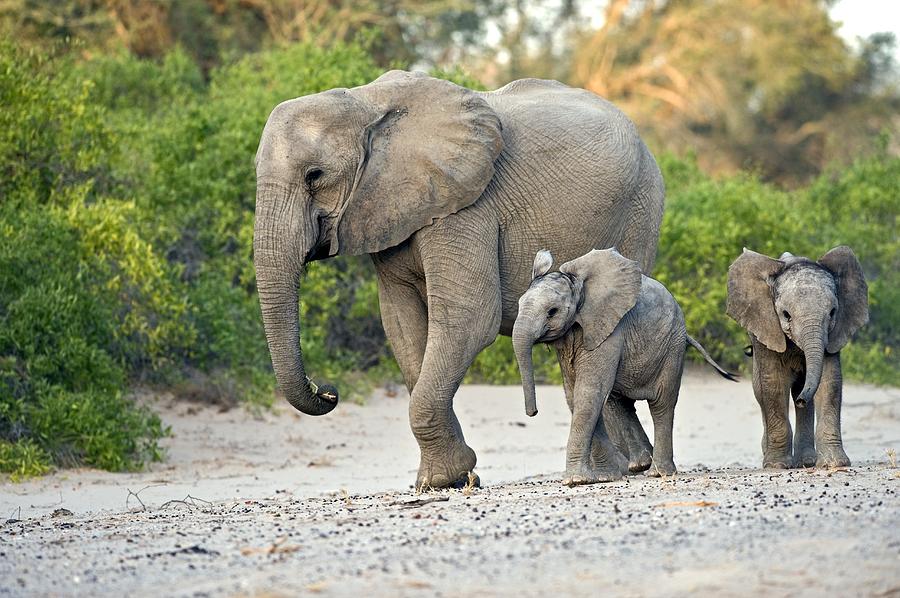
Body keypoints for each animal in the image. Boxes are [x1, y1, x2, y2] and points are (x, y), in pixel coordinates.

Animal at [253, 71, 668, 492]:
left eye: (315, 175)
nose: (328, 391)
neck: (365, 102)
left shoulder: (467, 206)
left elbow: (468, 318)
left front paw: (444, 478)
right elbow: (402, 326)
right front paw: (451, 477)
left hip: (641, 208)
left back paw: (630, 467)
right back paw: (625, 465)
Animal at [512, 250, 740, 488]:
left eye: (552, 312)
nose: (532, 413)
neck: (578, 288)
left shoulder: (609, 330)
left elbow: (588, 393)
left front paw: (576, 480)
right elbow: (577, 396)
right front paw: (604, 478)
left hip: (673, 346)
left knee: (661, 404)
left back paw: (657, 472)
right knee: (618, 402)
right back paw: (640, 465)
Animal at [728, 246, 868, 472]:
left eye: (833, 313)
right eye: (786, 315)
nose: (803, 399)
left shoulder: (833, 334)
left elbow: (830, 382)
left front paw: (834, 463)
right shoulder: (765, 327)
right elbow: (773, 384)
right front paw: (776, 465)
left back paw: (806, 461)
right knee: (760, 390)